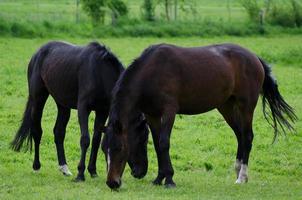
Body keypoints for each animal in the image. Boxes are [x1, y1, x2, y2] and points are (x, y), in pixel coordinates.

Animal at [10, 40, 149, 181]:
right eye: (140, 139)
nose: (141, 172)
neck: (100, 73)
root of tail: (37, 53)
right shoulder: (83, 108)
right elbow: (85, 139)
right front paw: (80, 174)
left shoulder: (102, 111)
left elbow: (96, 140)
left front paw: (93, 171)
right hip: (38, 98)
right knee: (37, 131)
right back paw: (36, 166)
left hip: (62, 104)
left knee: (59, 132)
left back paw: (64, 168)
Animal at [102, 42, 296, 189]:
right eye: (105, 149)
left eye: (119, 148)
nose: (112, 183)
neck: (151, 72)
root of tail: (254, 57)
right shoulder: (152, 115)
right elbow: (157, 145)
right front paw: (159, 178)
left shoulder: (169, 111)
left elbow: (164, 143)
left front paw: (169, 179)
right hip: (226, 107)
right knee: (240, 135)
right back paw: (237, 170)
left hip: (245, 106)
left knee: (247, 137)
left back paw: (242, 177)